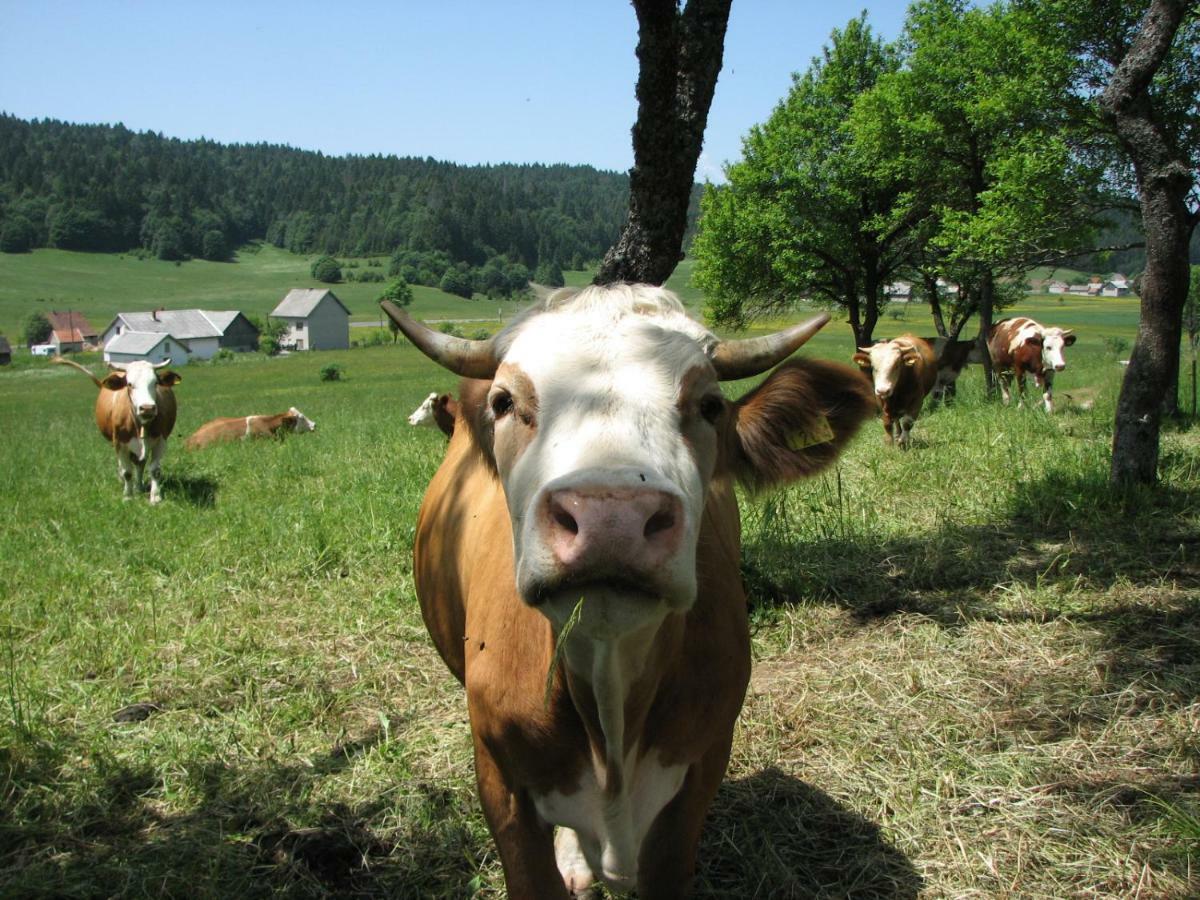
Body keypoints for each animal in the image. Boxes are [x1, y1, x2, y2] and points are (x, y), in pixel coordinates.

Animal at [53, 355, 181, 504]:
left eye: (155, 383)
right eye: (130, 384)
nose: (147, 408)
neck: (140, 423)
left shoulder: (160, 441)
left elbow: (154, 470)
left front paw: (155, 497)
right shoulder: (120, 443)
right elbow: (127, 472)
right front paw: (128, 496)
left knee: (140, 464)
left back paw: (139, 486)